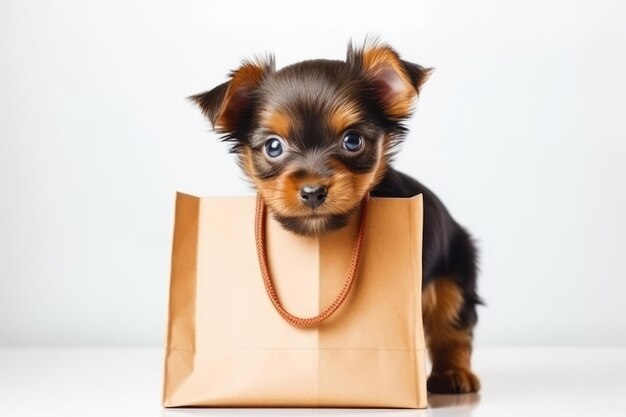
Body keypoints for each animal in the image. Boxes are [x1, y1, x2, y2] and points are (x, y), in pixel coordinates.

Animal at [190, 39, 482, 394]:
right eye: (273, 147)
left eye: (352, 141)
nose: (313, 191)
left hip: (455, 271)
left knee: (453, 326)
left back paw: (453, 374)